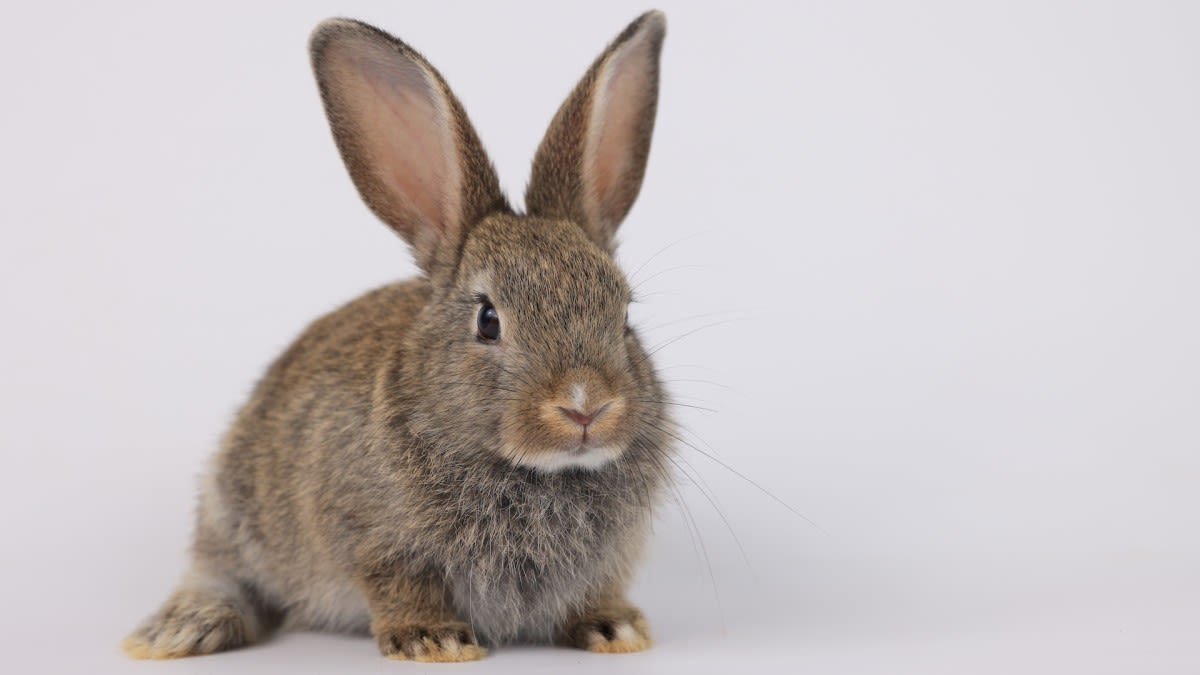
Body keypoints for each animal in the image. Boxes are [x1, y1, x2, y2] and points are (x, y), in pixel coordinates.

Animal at [121, 9, 676, 662]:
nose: (586, 406)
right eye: (488, 321)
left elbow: (595, 592)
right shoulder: (374, 543)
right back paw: (181, 629)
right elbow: (400, 586)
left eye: (624, 315)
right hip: (232, 509)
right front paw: (434, 641)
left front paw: (616, 629)